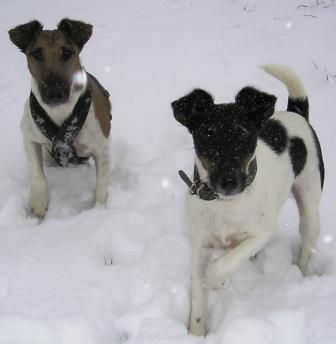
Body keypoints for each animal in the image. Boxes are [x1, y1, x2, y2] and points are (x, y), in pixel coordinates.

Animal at [8, 17, 111, 216]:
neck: (60, 111)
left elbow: (101, 185)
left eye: (67, 52)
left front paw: (99, 210)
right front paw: (39, 204)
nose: (54, 93)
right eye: (36, 54)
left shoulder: (102, 149)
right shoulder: (29, 138)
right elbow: (37, 175)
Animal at [172, 65, 324, 336]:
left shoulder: (262, 231)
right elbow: (198, 298)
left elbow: (228, 260)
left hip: (310, 204)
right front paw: (196, 334)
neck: (225, 203)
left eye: (243, 133)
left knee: (307, 244)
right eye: (207, 134)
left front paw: (216, 278)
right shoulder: (200, 245)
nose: (229, 181)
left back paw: (302, 273)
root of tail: (296, 112)